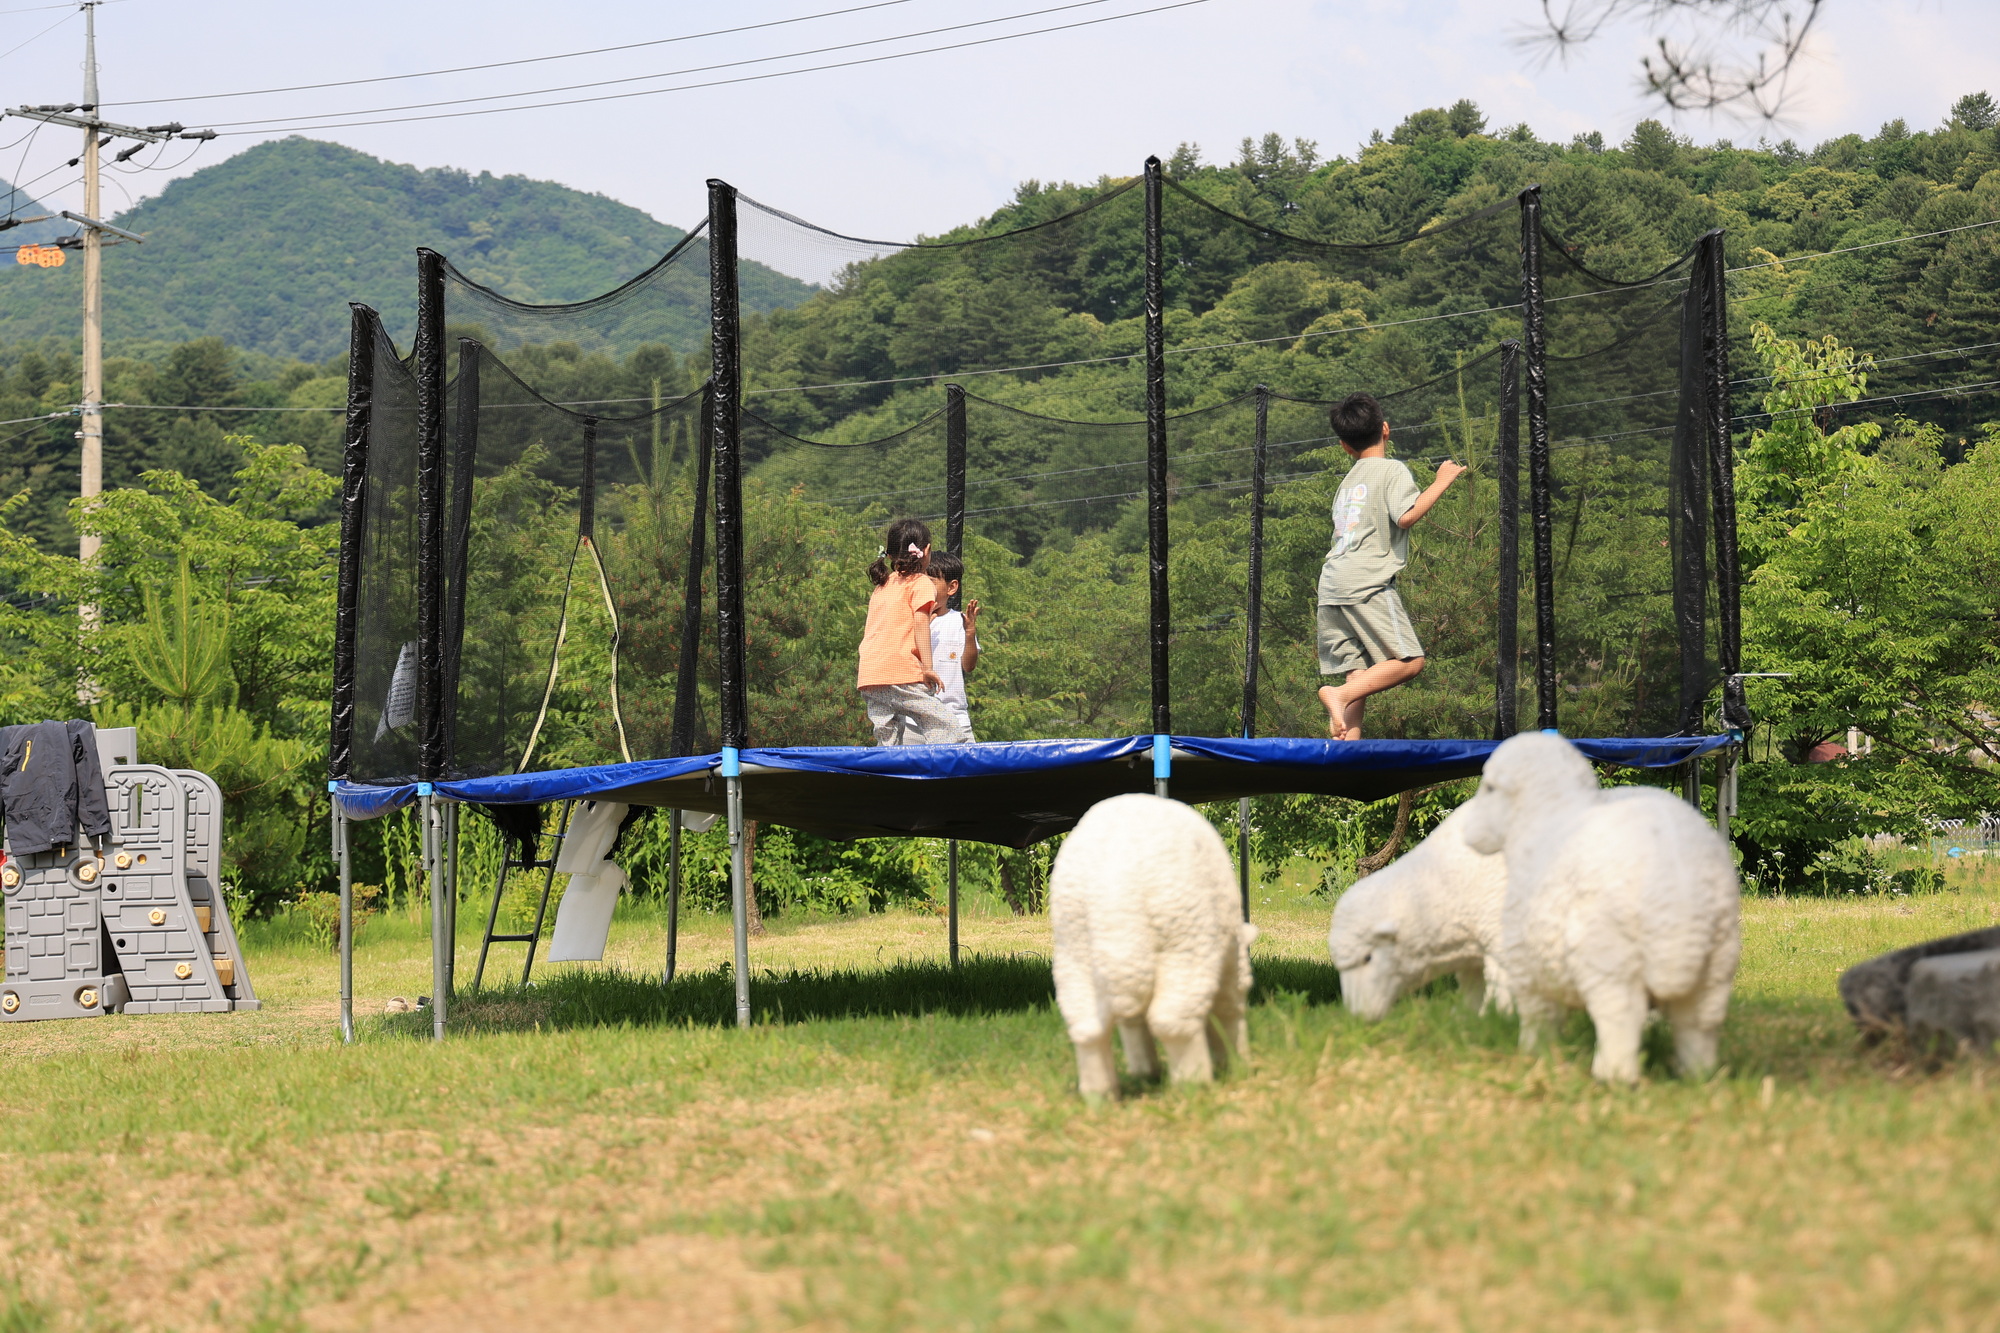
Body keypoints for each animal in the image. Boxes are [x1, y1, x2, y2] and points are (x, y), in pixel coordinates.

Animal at [1048, 792, 1248, 1096]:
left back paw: (1100, 1093)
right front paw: (1235, 1063)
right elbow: (1226, 1007)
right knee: (1173, 1019)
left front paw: (1145, 1070)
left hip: (1074, 945)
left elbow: (1132, 1021)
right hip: (1183, 935)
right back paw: (1194, 1084)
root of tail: (1114, 889)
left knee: (1087, 1024)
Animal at [1456, 732, 1736, 1088]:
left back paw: (1612, 1076)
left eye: (1490, 788)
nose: (1468, 833)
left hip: (1607, 956)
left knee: (1620, 1018)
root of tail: (1676, 894)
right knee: (1699, 1023)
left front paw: (1533, 1053)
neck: (1545, 814)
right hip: (1718, 958)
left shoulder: (1526, 958)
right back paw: (1697, 1077)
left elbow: (1537, 1014)